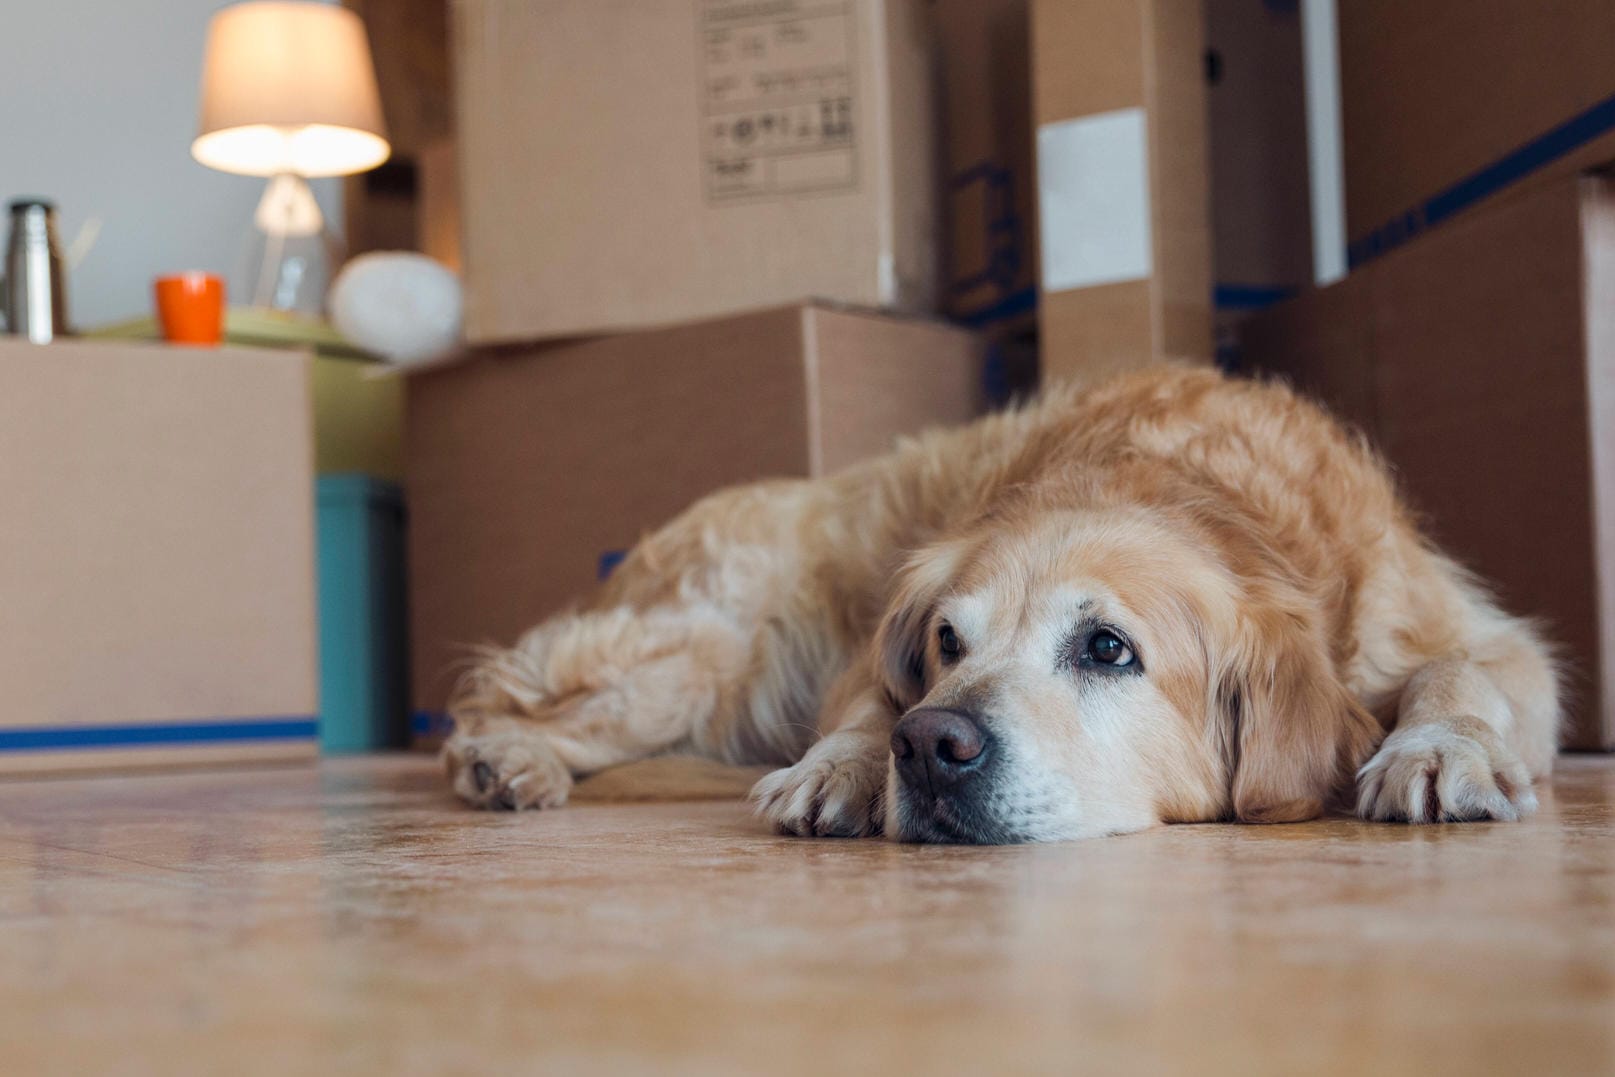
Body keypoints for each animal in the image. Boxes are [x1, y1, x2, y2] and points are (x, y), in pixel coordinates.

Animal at [439, 368, 1550, 839]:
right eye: (944, 641)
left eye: (1106, 648)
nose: (931, 746)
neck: (1182, 478)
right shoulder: (868, 655)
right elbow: (861, 702)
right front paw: (841, 766)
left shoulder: (1460, 625)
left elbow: (1466, 668)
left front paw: (1435, 749)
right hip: (695, 655)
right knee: (494, 700)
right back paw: (506, 760)